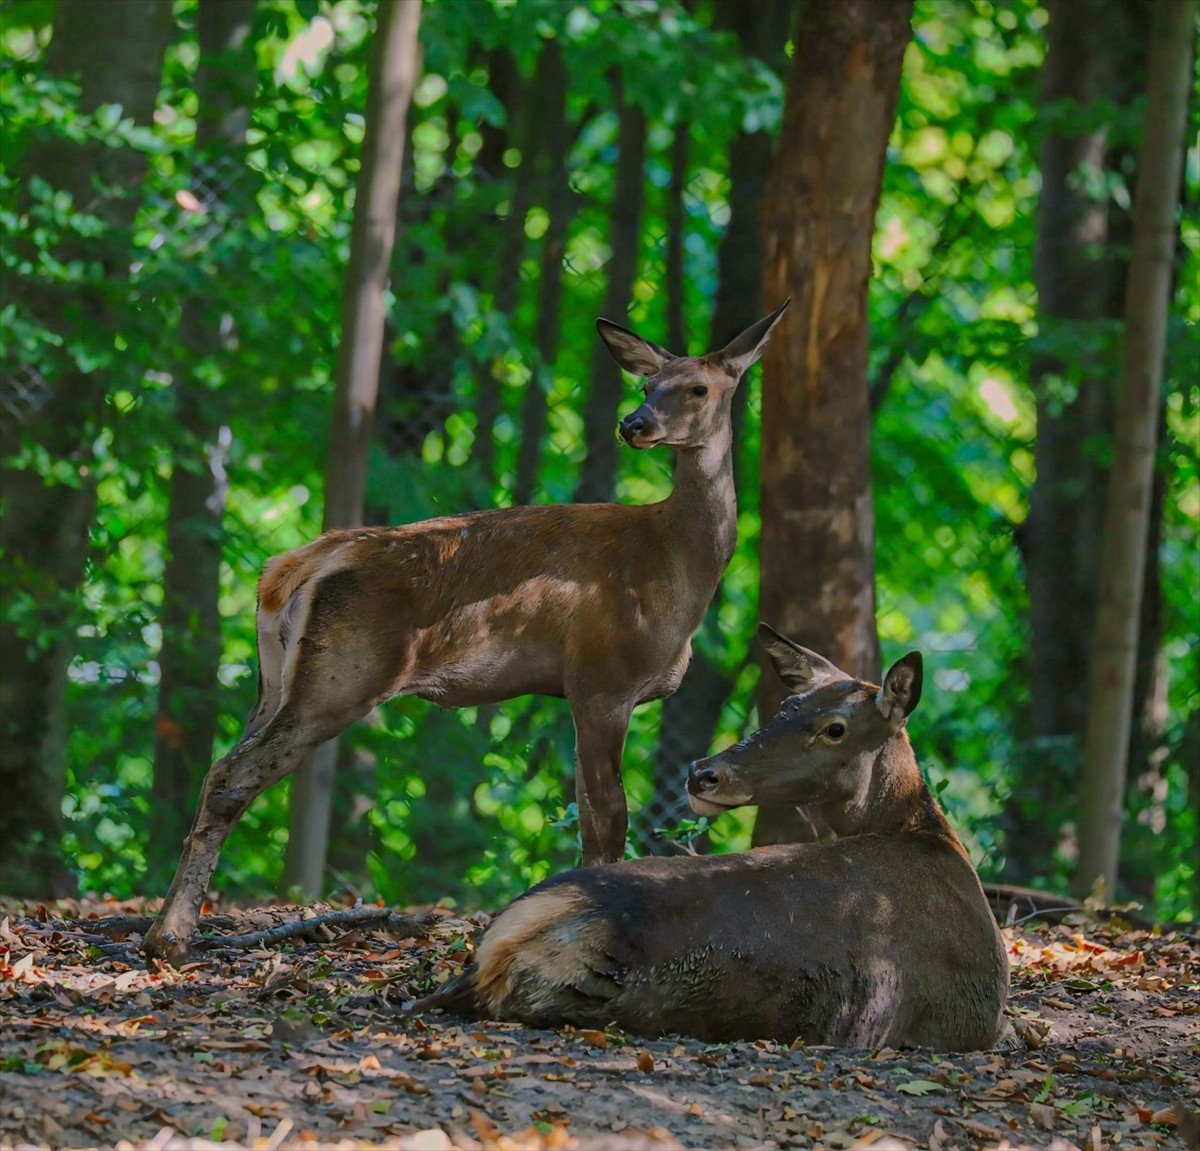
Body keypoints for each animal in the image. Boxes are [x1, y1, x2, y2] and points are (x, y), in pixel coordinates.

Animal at [142, 301, 787, 969]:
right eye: (646, 385)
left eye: (697, 387)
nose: (634, 423)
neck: (671, 568)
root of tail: (291, 569)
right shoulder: (604, 675)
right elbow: (610, 817)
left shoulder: (583, 690)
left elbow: (587, 817)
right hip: (343, 673)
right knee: (231, 774)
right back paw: (171, 937)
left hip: (273, 682)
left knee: (221, 765)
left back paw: (163, 930)